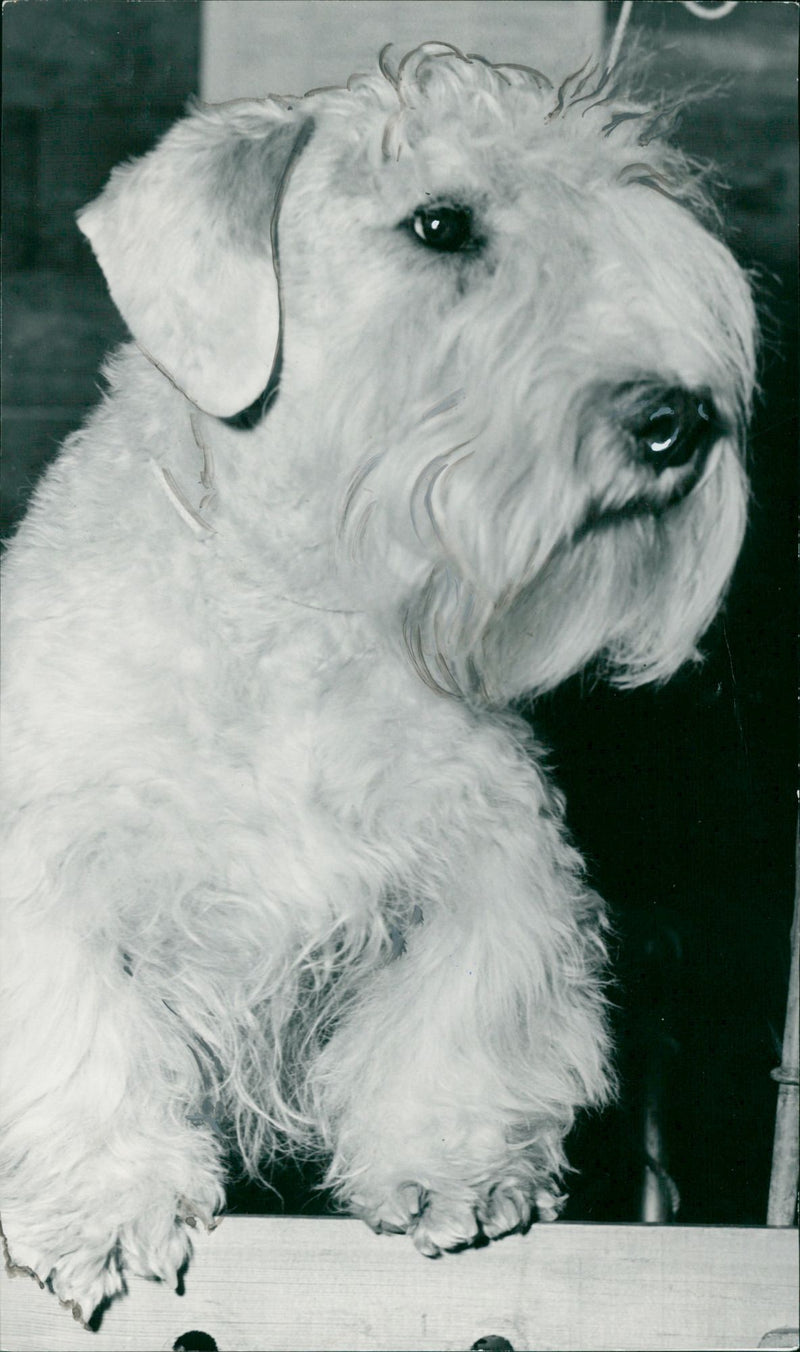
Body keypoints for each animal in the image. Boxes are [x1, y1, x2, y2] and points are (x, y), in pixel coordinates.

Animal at [0, 42, 751, 1319]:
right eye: (439, 224)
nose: (678, 421)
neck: (294, 610)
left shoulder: (483, 861)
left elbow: (458, 1012)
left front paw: (456, 1171)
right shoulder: (52, 868)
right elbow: (74, 1030)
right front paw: (102, 1208)